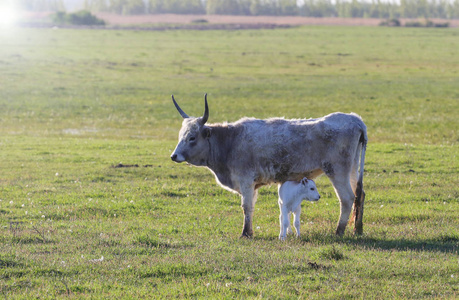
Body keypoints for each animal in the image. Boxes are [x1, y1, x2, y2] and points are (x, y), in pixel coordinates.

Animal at [171, 95, 368, 238]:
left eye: (192, 137)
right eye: (180, 135)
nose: (174, 156)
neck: (230, 141)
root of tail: (355, 119)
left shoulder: (246, 181)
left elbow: (246, 207)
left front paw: (246, 233)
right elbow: (250, 207)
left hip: (337, 171)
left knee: (347, 198)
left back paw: (339, 231)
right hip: (352, 168)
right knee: (359, 194)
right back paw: (357, 229)